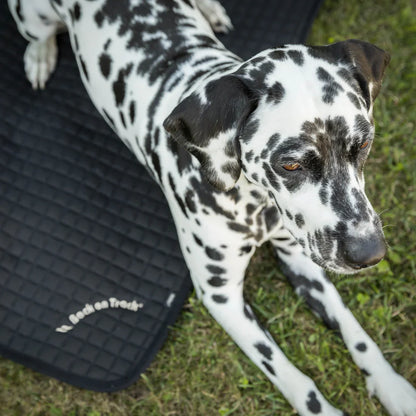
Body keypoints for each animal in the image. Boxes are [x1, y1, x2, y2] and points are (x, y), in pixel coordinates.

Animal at [7, 0, 416, 414]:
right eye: (290, 164)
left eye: (362, 145)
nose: (370, 253)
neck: (258, 205)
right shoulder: (222, 297)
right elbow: (290, 374)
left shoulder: (302, 259)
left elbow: (356, 332)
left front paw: (393, 387)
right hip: (32, 18)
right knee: (39, 36)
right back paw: (39, 56)